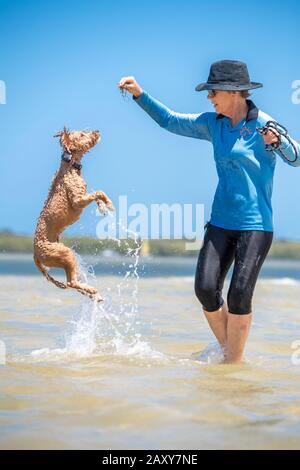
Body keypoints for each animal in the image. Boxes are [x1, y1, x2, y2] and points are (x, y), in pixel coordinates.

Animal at [33, 127, 113, 302]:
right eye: (82, 134)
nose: (97, 130)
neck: (70, 165)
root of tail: (35, 255)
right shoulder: (77, 200)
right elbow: (98, 192)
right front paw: (108, 204)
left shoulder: (83, 196)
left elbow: (96, 194)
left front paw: (102, 206)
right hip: (65, 254)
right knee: (71, 282)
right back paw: (91, 290)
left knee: (74, 283)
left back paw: (92, 294)